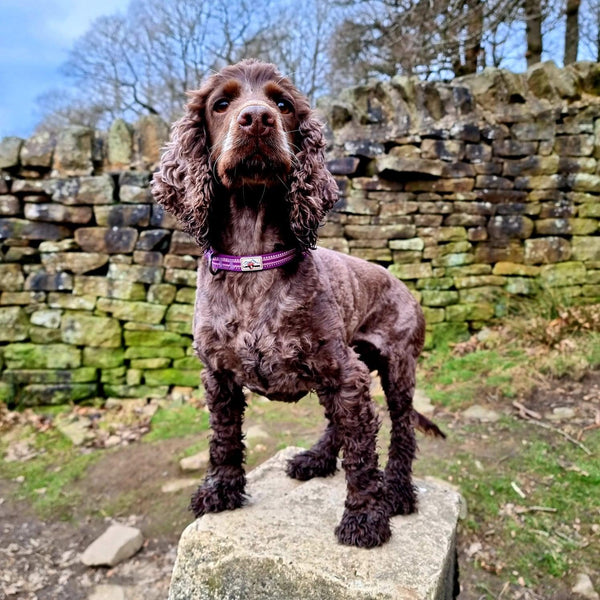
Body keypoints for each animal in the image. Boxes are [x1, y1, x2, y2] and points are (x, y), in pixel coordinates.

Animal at [151, 58, 440, 548]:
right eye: (221, 104)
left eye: (282, 105)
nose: (257, 119)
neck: (253, 264)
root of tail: (397, 280)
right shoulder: (219, 375)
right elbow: (223, 438)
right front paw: (221, 490)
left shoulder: (343, 371)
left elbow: (362, 456)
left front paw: (365, 516)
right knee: (339, 426)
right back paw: (316, 459)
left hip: (397, 365)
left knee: (400, 430)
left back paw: (399, 491)